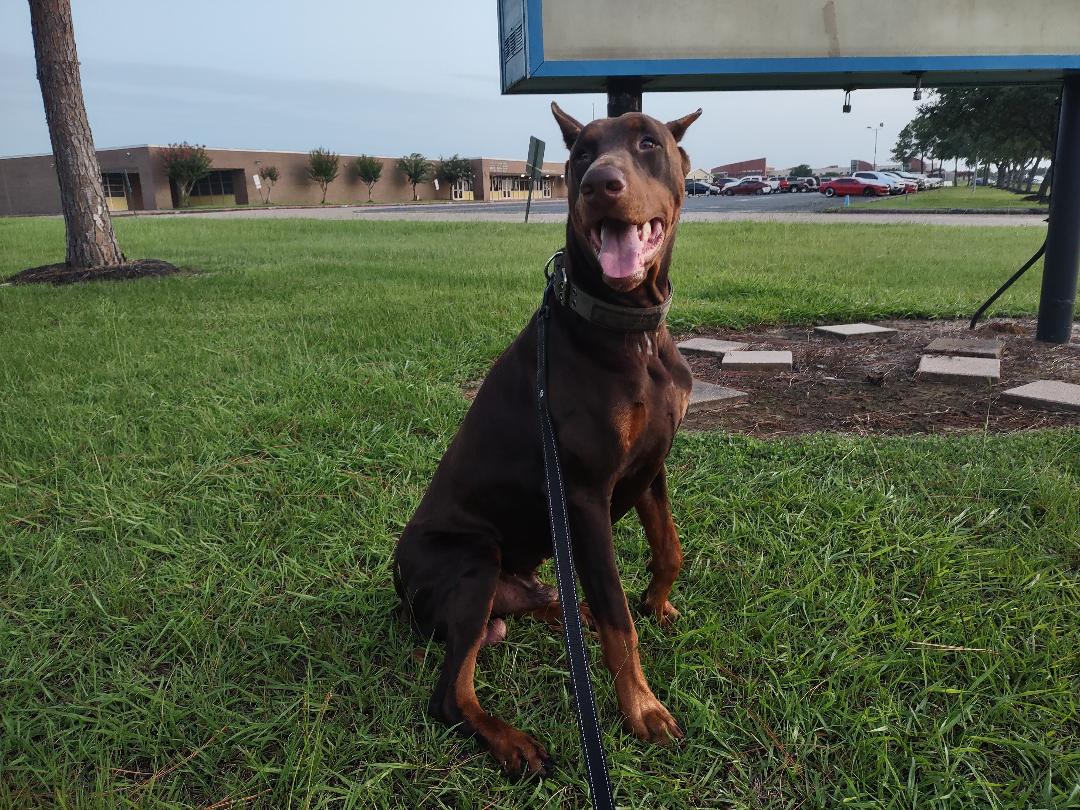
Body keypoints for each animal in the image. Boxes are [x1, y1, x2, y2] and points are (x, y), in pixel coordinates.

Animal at [394, 101, 701, 777]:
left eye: (649, 142)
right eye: (581, 153)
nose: (600, 184)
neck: (632, 331)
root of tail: (397, 586)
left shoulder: (652, 464)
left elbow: (668, 549)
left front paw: (658, 602)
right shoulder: (584, 494)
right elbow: (618, 620)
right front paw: (642, 710)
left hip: (521, 569)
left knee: (542, 599)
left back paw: (568, 611)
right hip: (473, 561)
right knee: (448, 693)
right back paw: (512, 742)